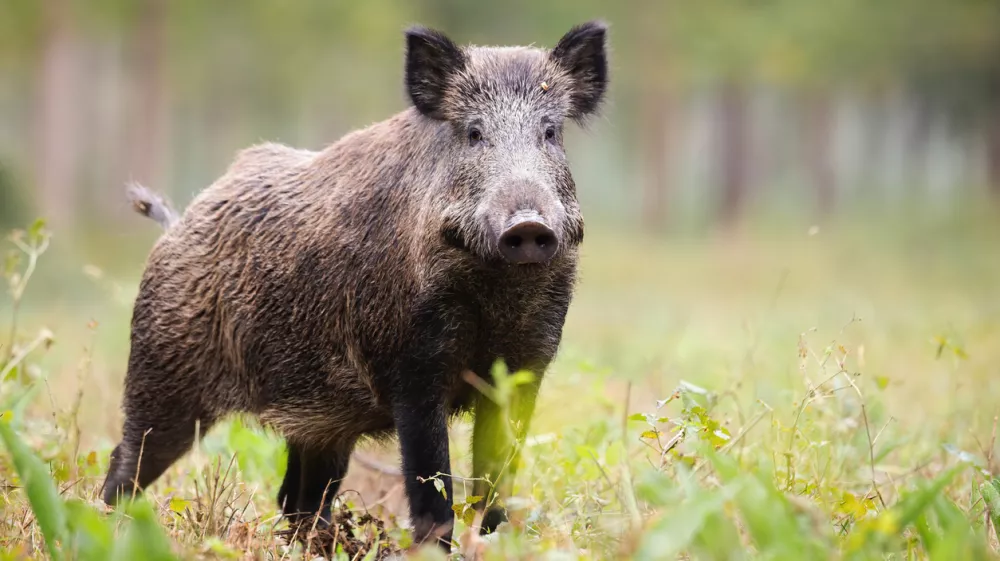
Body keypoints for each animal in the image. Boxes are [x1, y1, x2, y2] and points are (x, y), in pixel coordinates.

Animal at [102, 20, 608, 551]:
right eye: (473, 133)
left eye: (550, 132)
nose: (528, 224)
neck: (496, 295)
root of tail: (176, 225)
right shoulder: (412, 368)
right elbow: (431, 482)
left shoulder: (524, 370)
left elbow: (495, 477)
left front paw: (493, 540)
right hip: (161, 375)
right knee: (125, 464)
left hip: (320, 422)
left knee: (295, 497)